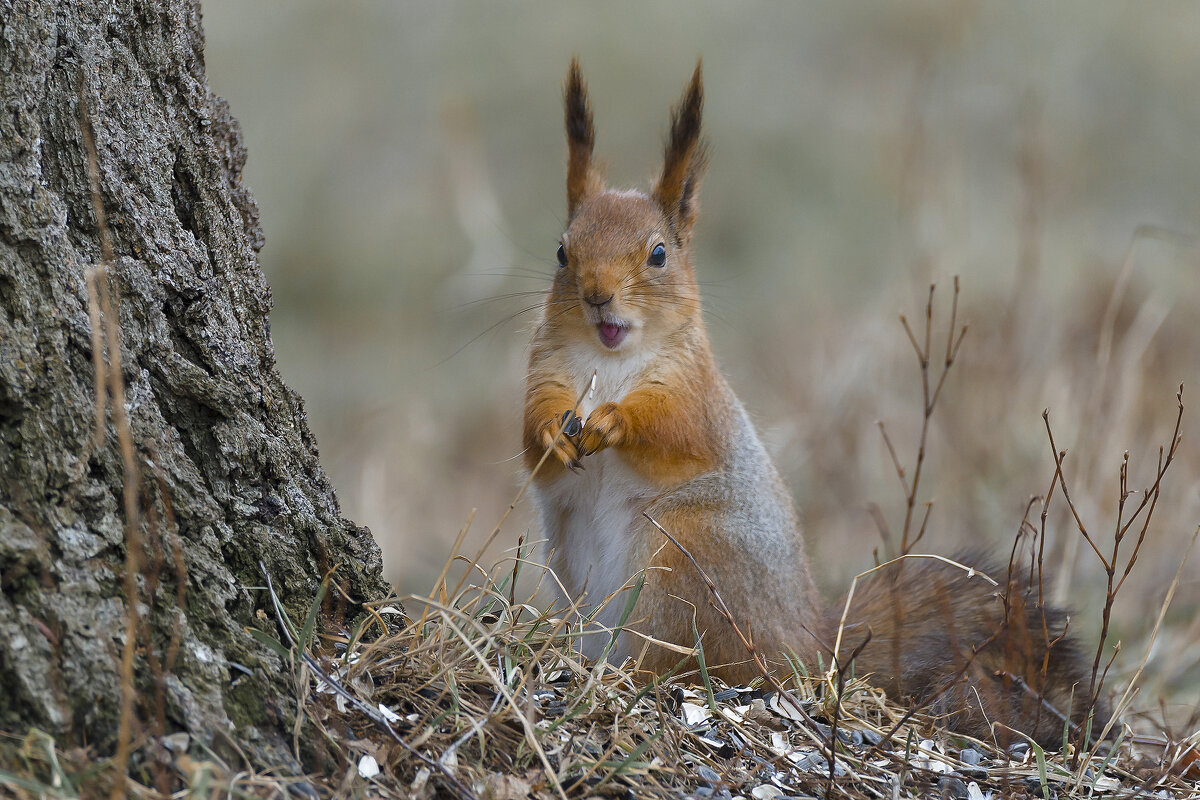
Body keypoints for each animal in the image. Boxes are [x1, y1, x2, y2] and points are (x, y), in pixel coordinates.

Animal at [525, 59, 1104, 748]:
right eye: (562, 250)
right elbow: (532, 435)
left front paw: (614, 421)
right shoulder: (546, 371)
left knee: (685, 659)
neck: (610, 359)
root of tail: (806, 643)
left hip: (684, 564)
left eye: (658, 254)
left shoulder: (697, 393)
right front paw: (555, 435)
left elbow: (673, 430)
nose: (596, 295)